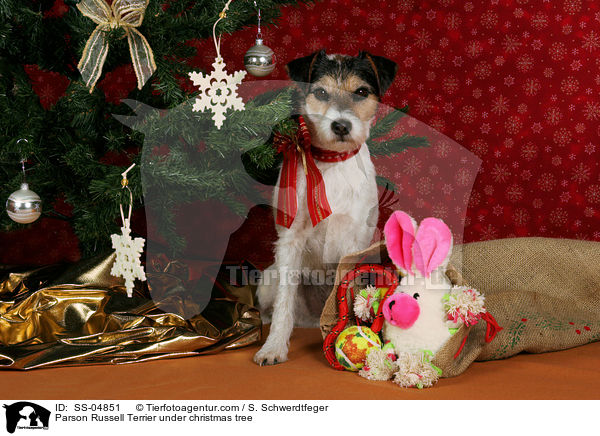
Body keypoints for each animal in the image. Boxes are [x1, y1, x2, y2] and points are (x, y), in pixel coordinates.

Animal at [254, 50, 398, 364]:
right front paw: (273, 347)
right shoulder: (290, 240)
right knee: (274, 309)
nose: (341, 126)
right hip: (269, 278)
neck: (332, 162)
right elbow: (284, 306)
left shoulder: (353, 242)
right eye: (320, 92)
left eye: (361, 92)